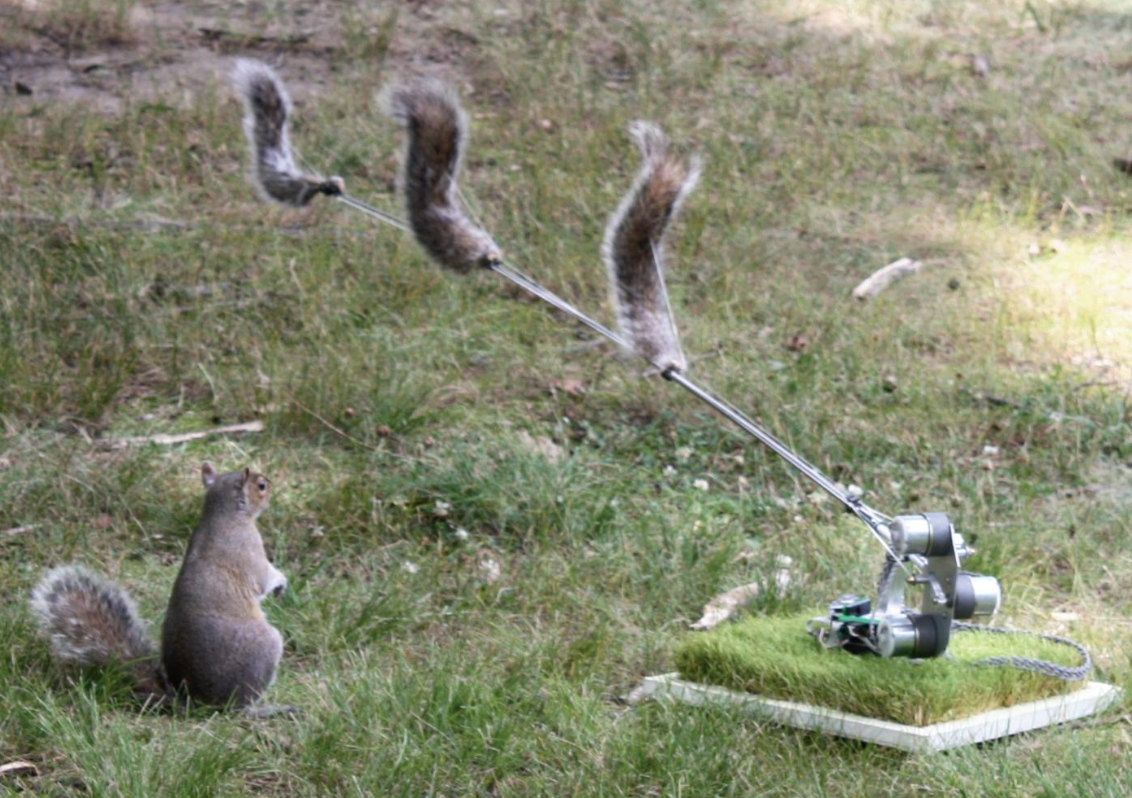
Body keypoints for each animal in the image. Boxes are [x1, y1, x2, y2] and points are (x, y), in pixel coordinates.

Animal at [29, 463, 292, 717]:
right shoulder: (248, 551)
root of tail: (194, 702)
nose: (272, 488)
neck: (225, 514)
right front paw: (281, 581)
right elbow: (264, 577)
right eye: (261, 485)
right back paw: (264, 710)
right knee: (236, 709)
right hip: (262, 650)